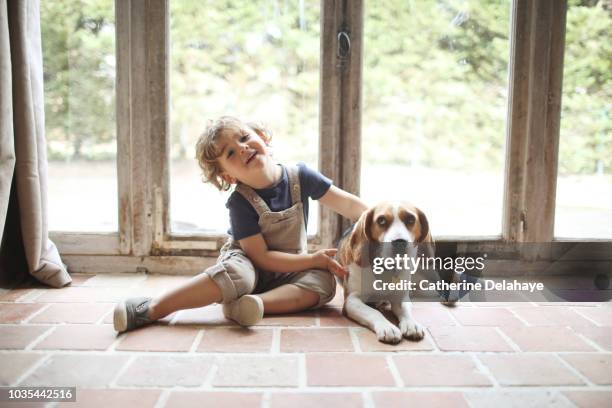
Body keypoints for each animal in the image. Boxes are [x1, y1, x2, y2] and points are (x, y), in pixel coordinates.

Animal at [338, 202, 432, 342]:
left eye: (411, 219)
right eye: (381, 220)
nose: (400, 242)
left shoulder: (400, 296)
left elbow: (405, 310)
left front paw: (411, 324)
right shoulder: (351, 300)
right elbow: (373, 312)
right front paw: (387, 327)